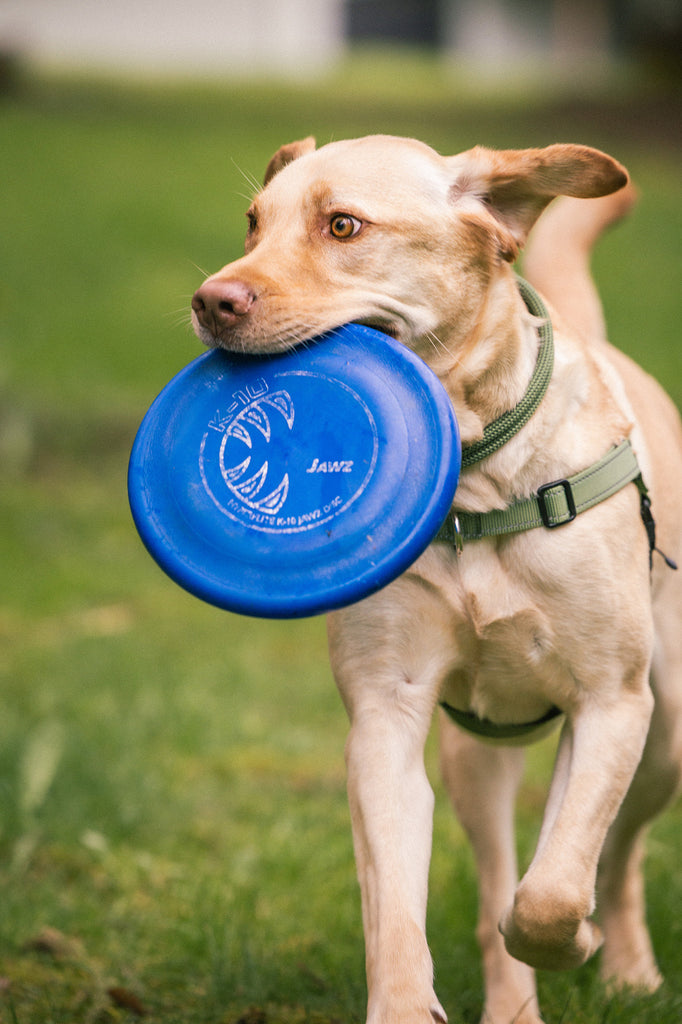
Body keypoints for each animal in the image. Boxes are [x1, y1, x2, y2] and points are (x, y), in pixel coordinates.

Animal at [187, 138, 679, 1024]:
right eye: (253, 222)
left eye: (343, 225)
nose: (212, 301)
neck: (476, 487)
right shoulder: (386, 713)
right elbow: (398, 903)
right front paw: (405, 1002)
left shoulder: (610, 703)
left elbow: (553, 890)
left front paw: (576, 941)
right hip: (476, 755)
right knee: (496, 881)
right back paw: (515, 1004)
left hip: (666, 731)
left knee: (618, 852)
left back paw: (625, 962)